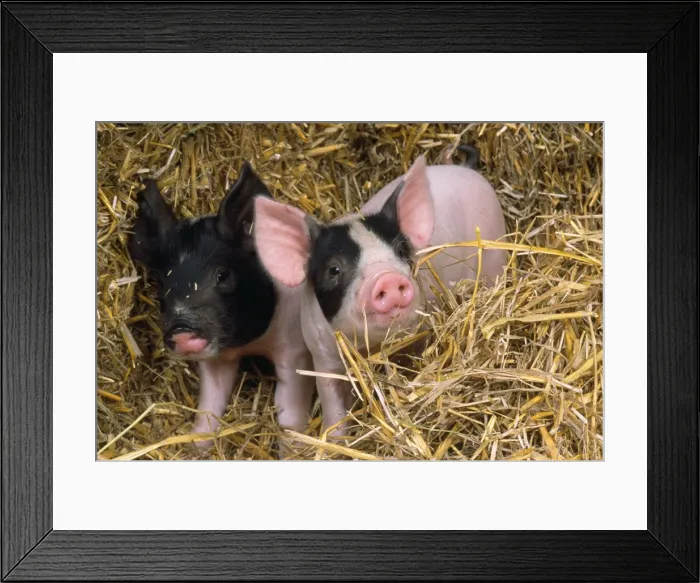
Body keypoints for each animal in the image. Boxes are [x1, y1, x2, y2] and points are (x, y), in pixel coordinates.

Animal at [127, 162, 316, 452]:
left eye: (222, 274)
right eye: (161, 284)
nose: (181, 329)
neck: (251, 344)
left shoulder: (295, 349)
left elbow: (290, 412)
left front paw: (293, 450)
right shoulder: (216, 359)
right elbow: (209, 406)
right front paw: (197, 449)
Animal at [252, 147, 508, 440]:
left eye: (401, 251)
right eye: (334, 269)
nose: (388, 277)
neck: (370, 349)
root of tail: (467, 170)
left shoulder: (420, 336)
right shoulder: (323, 355)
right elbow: (333, 403)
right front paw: (335, 439)